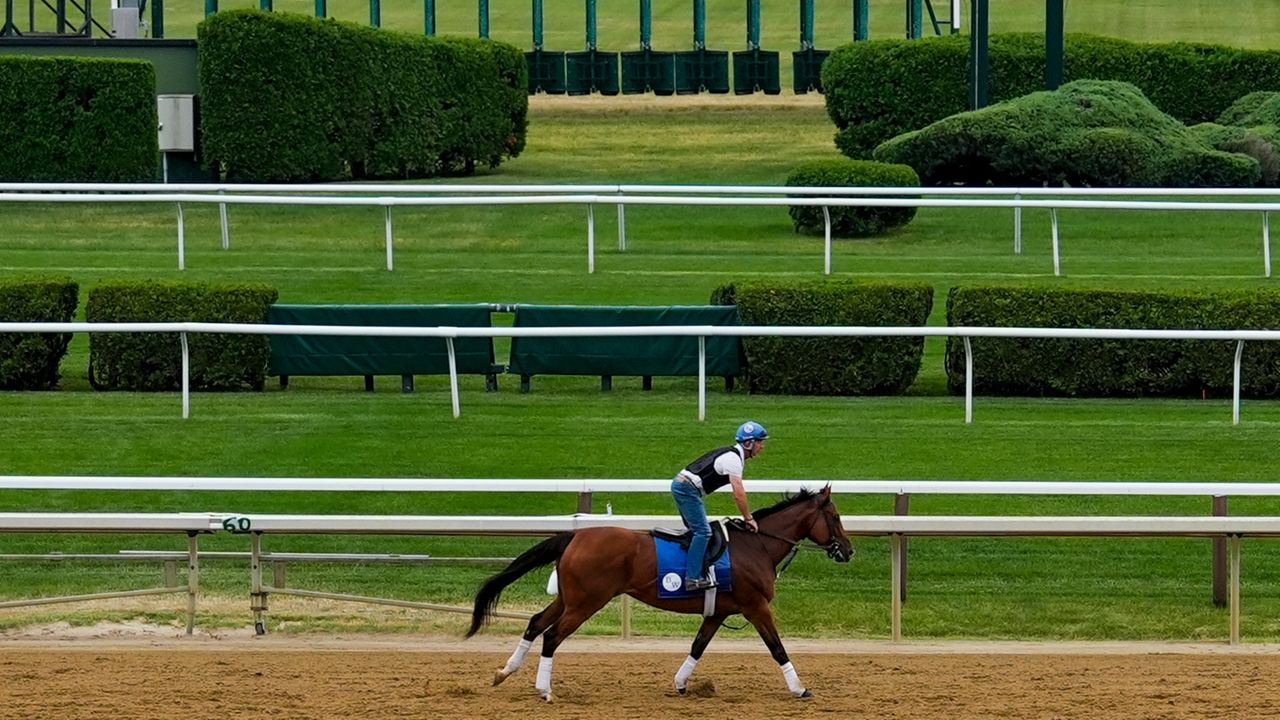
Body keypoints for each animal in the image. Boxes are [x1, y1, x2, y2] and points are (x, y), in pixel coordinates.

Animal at [468, 484, 849, 696]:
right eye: (835, 516)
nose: (848, 550)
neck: (756, 546)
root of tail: (573, 536)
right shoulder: (755, 606)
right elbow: (777, 647)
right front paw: (799, 688)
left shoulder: (719, 611)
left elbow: (697, 646)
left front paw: (681, 684)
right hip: (586, 602)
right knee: (552, 636)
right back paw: (544, 690)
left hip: (569, 598)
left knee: (535, 623)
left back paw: (504, 672)